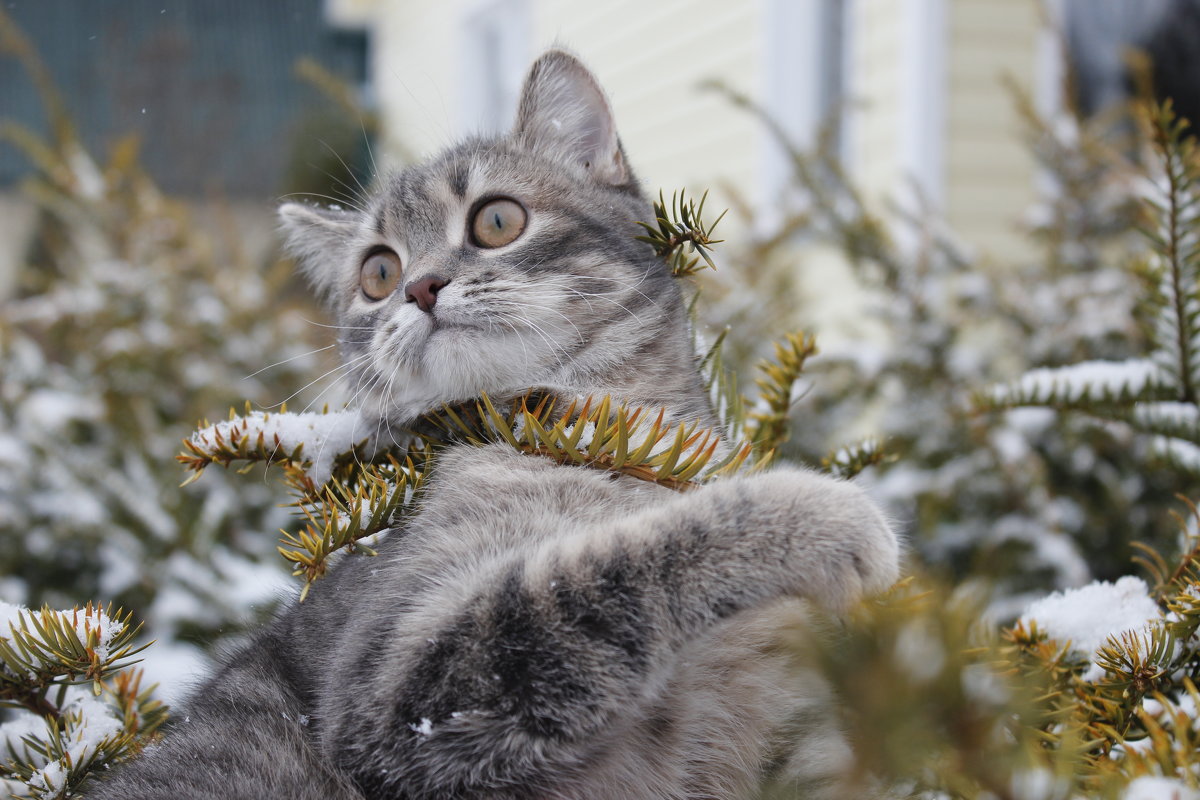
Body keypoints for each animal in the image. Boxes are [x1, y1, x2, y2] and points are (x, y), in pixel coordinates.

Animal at [96, 51, 902, 800]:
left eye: (496, 220)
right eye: (378, 273)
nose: (420, 287)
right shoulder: (405, 686)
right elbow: (607, 569)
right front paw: (824, 513)